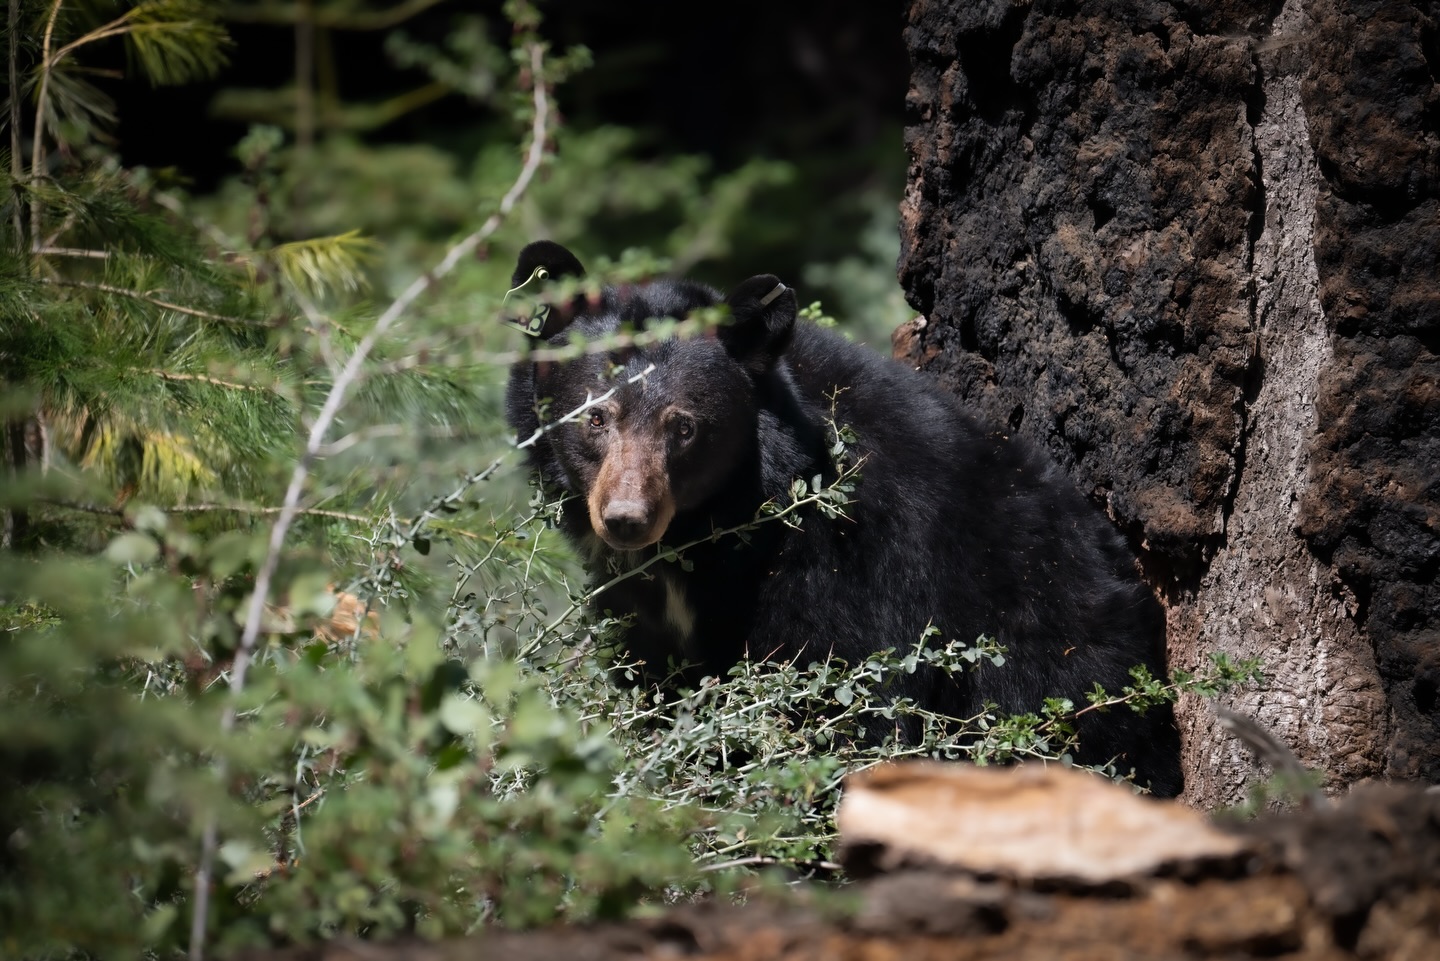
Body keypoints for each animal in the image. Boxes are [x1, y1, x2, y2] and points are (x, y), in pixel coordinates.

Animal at [504, 240, 1183, 796]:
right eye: (595, 416)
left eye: (684, 426)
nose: (626, 519)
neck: (707, 532)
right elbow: (650, 669)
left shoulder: (843, 560)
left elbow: (841, 696)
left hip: (1051, 649)